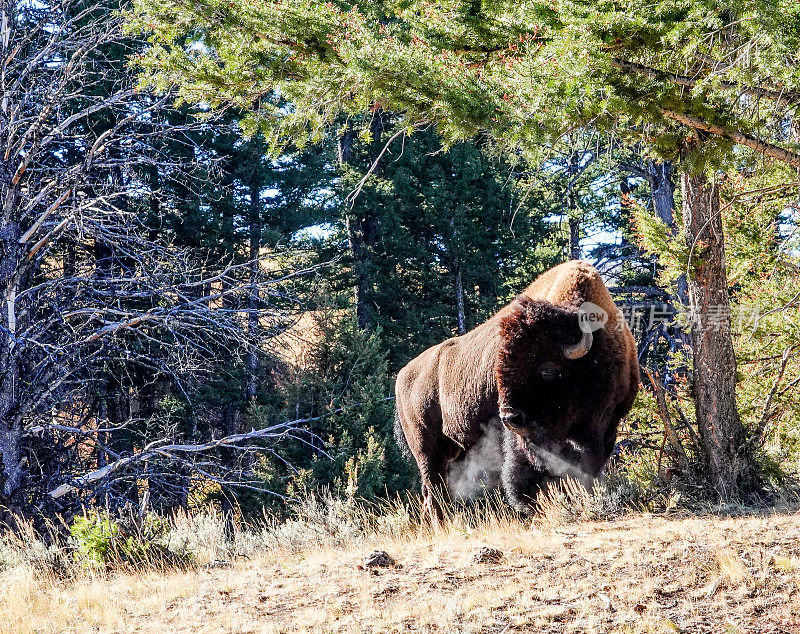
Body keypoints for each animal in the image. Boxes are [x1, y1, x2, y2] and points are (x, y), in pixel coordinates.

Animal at [394, 258, 636, 520]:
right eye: (500, 371)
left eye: (548, 370)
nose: (510, 417)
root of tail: (402, 376)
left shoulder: (607, 425)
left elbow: (589, 465)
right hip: (426, 449)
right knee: (433, 490)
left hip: (453, 450)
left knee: (434, 492)